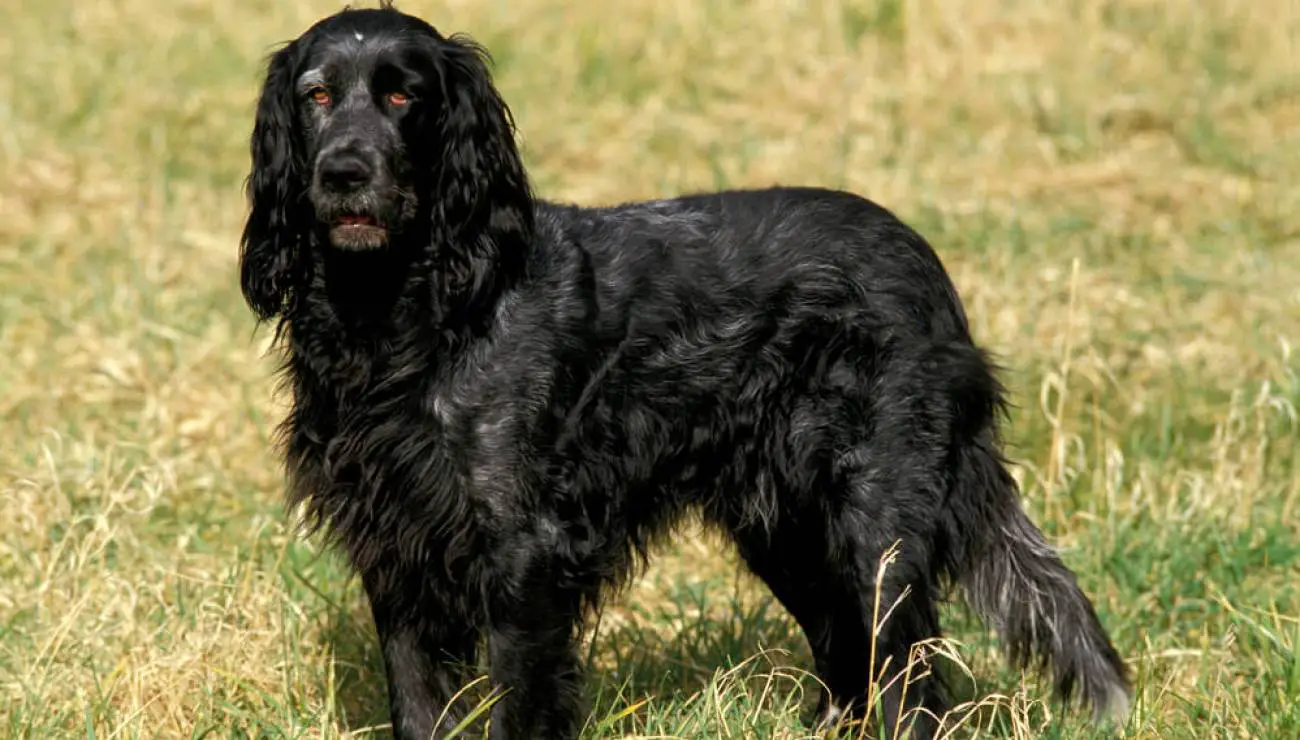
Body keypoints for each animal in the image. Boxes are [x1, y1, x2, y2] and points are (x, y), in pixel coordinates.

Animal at [241, 2, 1128, 733]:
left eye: (404, 97)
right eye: (318, 96)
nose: (343, 173)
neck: (409, 312)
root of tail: (925, 264)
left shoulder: (524, 555)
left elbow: (520, 704)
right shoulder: (395, 550)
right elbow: (419, 706)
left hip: (876, 526)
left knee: (910, 684)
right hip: (788, 526)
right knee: (846, 658)